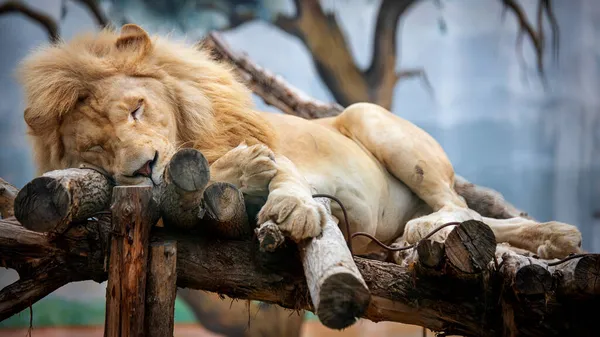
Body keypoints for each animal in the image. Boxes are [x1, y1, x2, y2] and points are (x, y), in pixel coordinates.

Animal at [17, 24, 580, 260]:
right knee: (481, 219)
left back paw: (427, 230)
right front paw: (244, 173)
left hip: (368, 116)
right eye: (97, 151)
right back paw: (554, 238)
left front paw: (290, 206)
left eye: (136, 108)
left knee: (459, 206)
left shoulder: (275, 146)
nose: (144, 166)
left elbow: (282, 169)